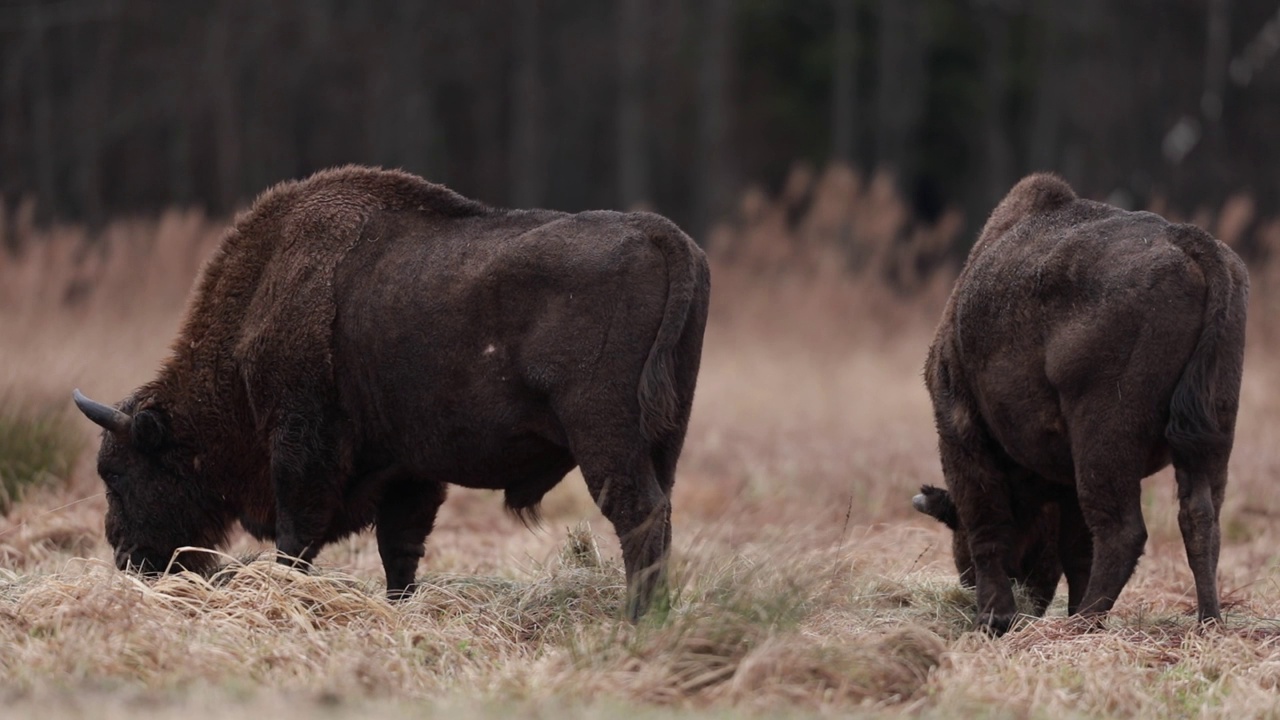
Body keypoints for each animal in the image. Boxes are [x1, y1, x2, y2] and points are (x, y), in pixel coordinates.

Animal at [72, 162, 711, 617]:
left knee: (637, 514)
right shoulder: (408, 472)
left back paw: (634, 619)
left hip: (604, 435)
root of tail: (664, 236)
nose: (126, 557)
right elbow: (399, 551)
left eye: (118, 473)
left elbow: (297, 538)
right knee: (661, 514)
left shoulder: (301, 451)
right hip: (665, 437)